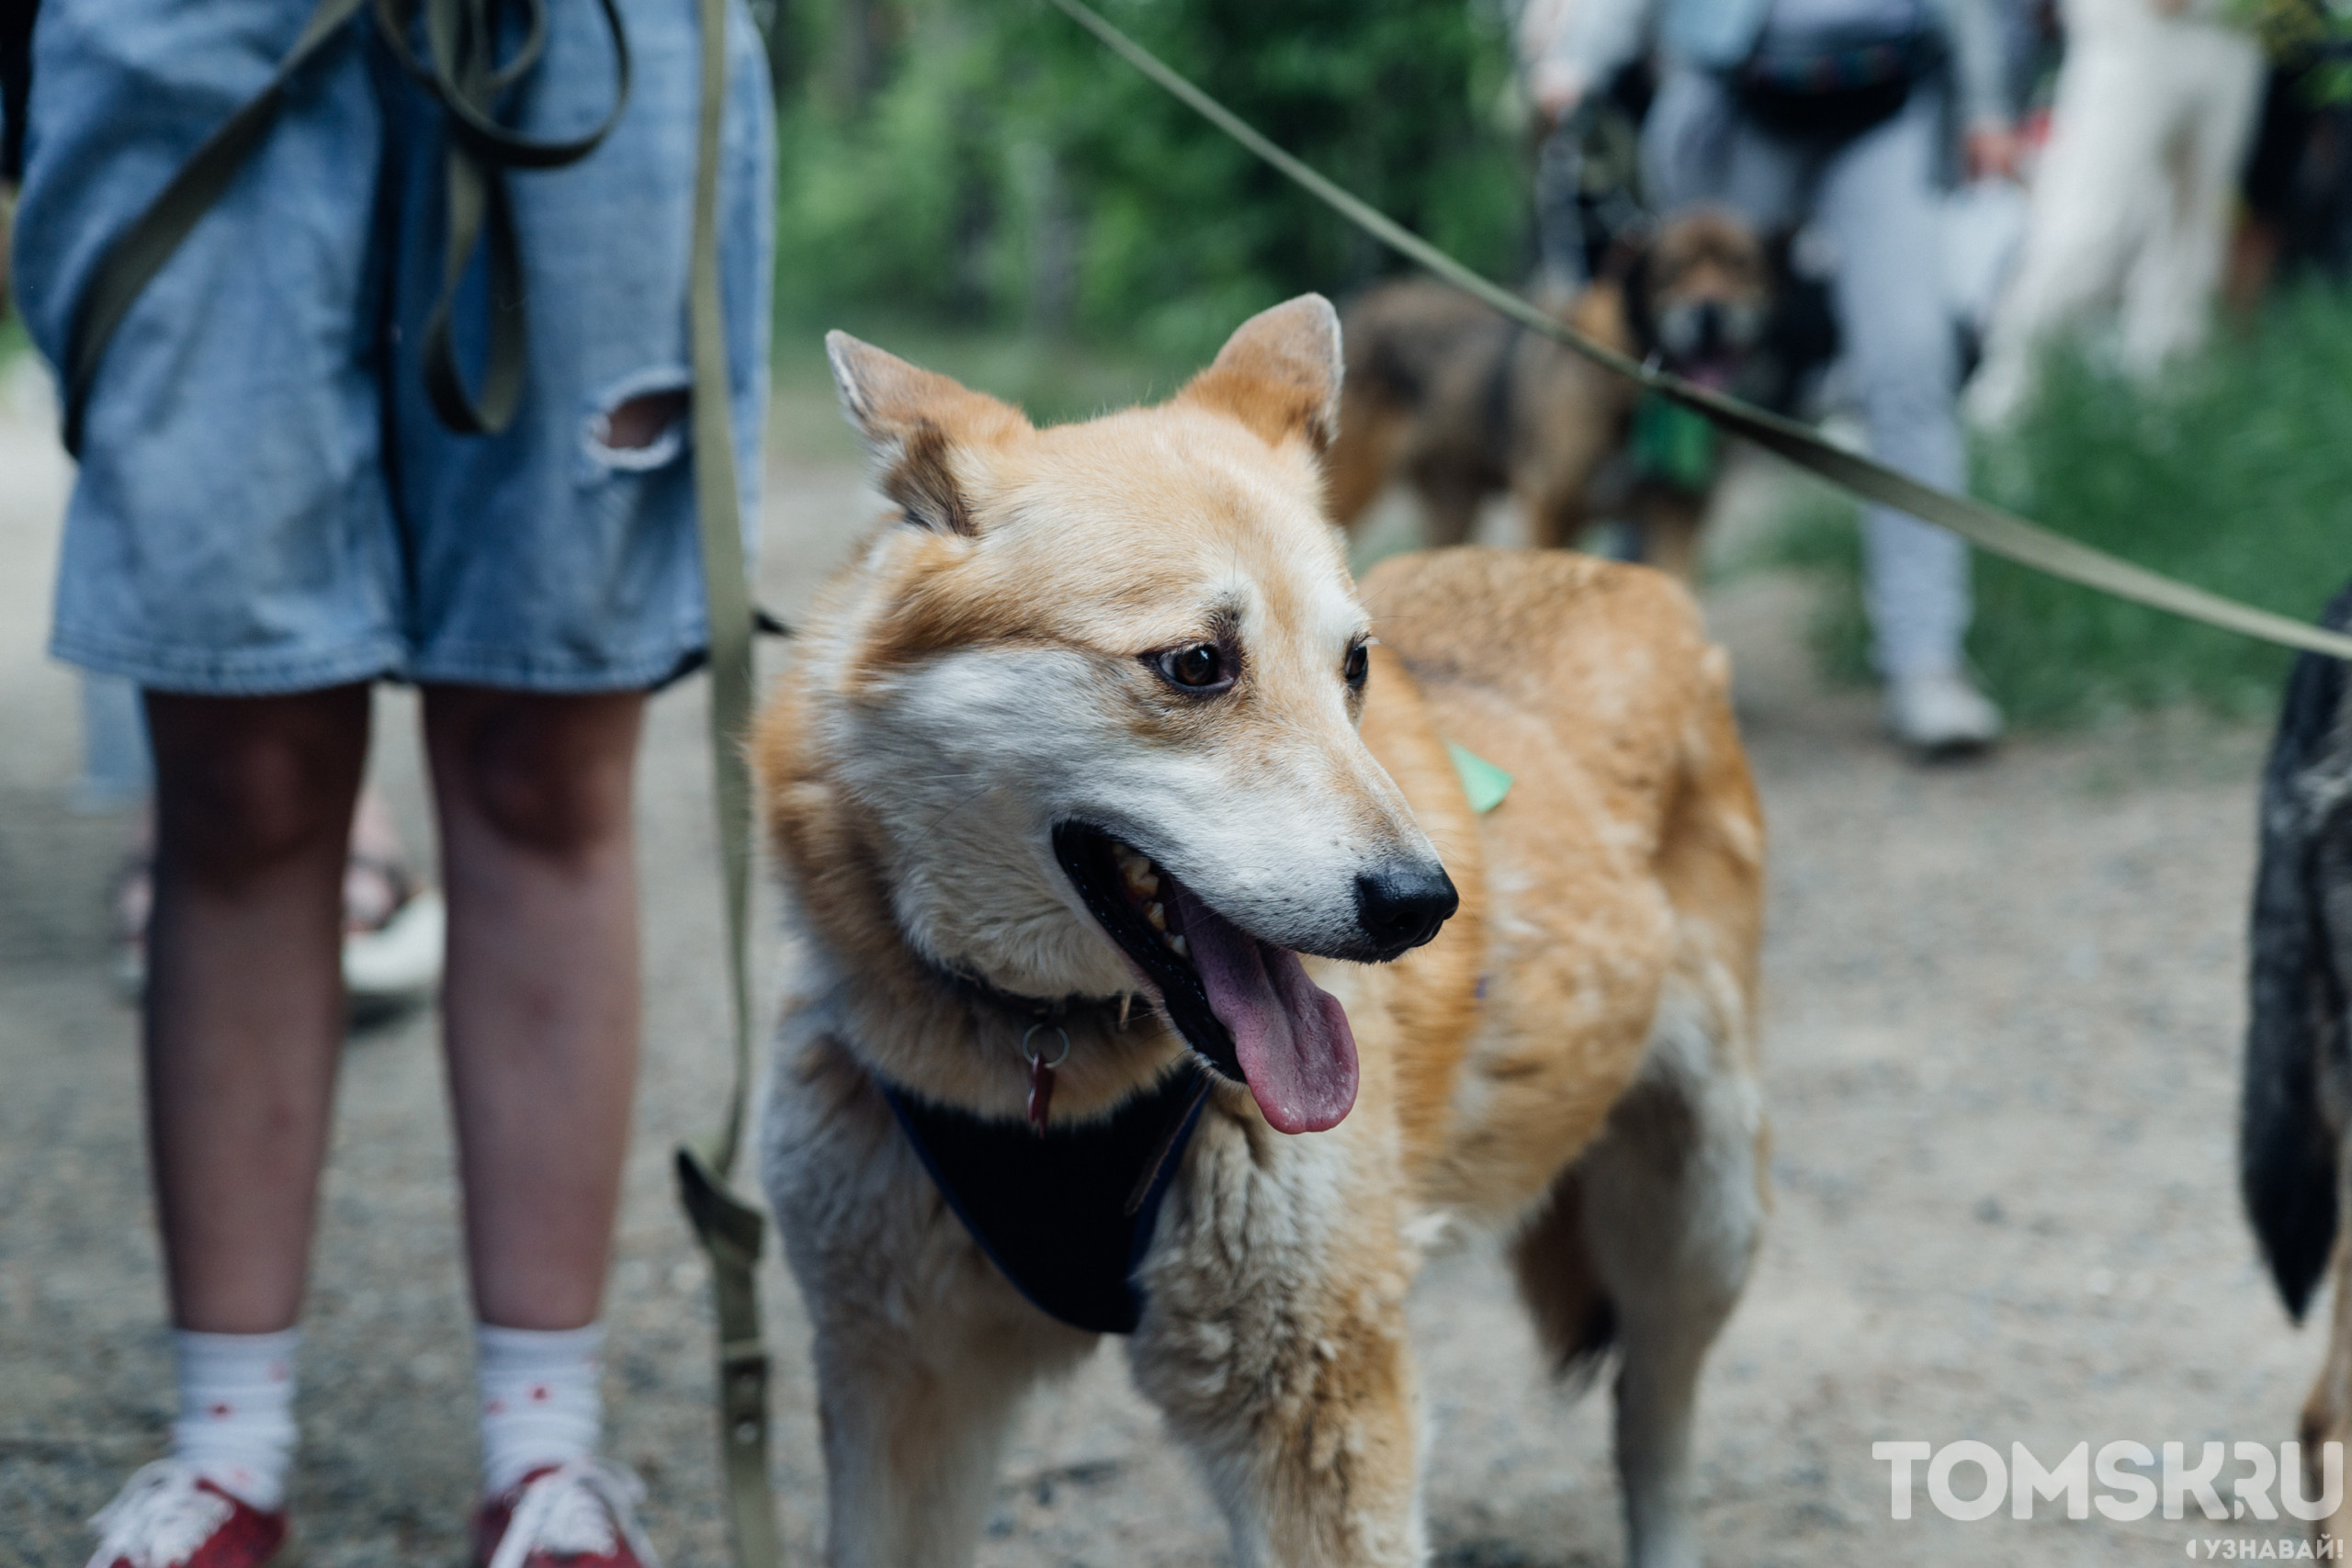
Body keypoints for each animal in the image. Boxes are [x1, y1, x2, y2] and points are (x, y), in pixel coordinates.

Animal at [752, 297, 1769, 1568]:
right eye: (1197, 664)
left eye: (1355, 666)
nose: (1424, 905)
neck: (1047, 1067)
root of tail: (1613, 570)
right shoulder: (901, 1380)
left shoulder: (1316, 1413)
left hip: (1698, 1221)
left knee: (1655, 1428)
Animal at [1326, 205, 1769, 581]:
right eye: (1673, 269)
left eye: (1741, 266)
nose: (1710, 315)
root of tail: (1357, 306)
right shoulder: (1550, 509)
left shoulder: (1679, 521)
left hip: (1453, 502)